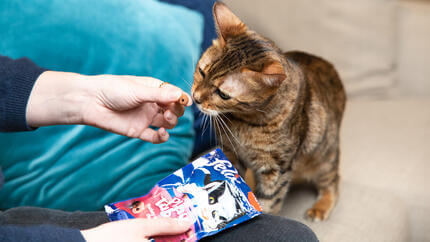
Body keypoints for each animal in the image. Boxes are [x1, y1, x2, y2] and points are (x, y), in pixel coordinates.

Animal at [191, 2, 346, 221]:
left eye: (223, 94)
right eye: (202, 72)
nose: (195, 97)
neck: (243, 122)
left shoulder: (276, 169)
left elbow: (269, 200)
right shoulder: (229, 152)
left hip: (324, 158)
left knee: (332, 182)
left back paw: (320, 206)